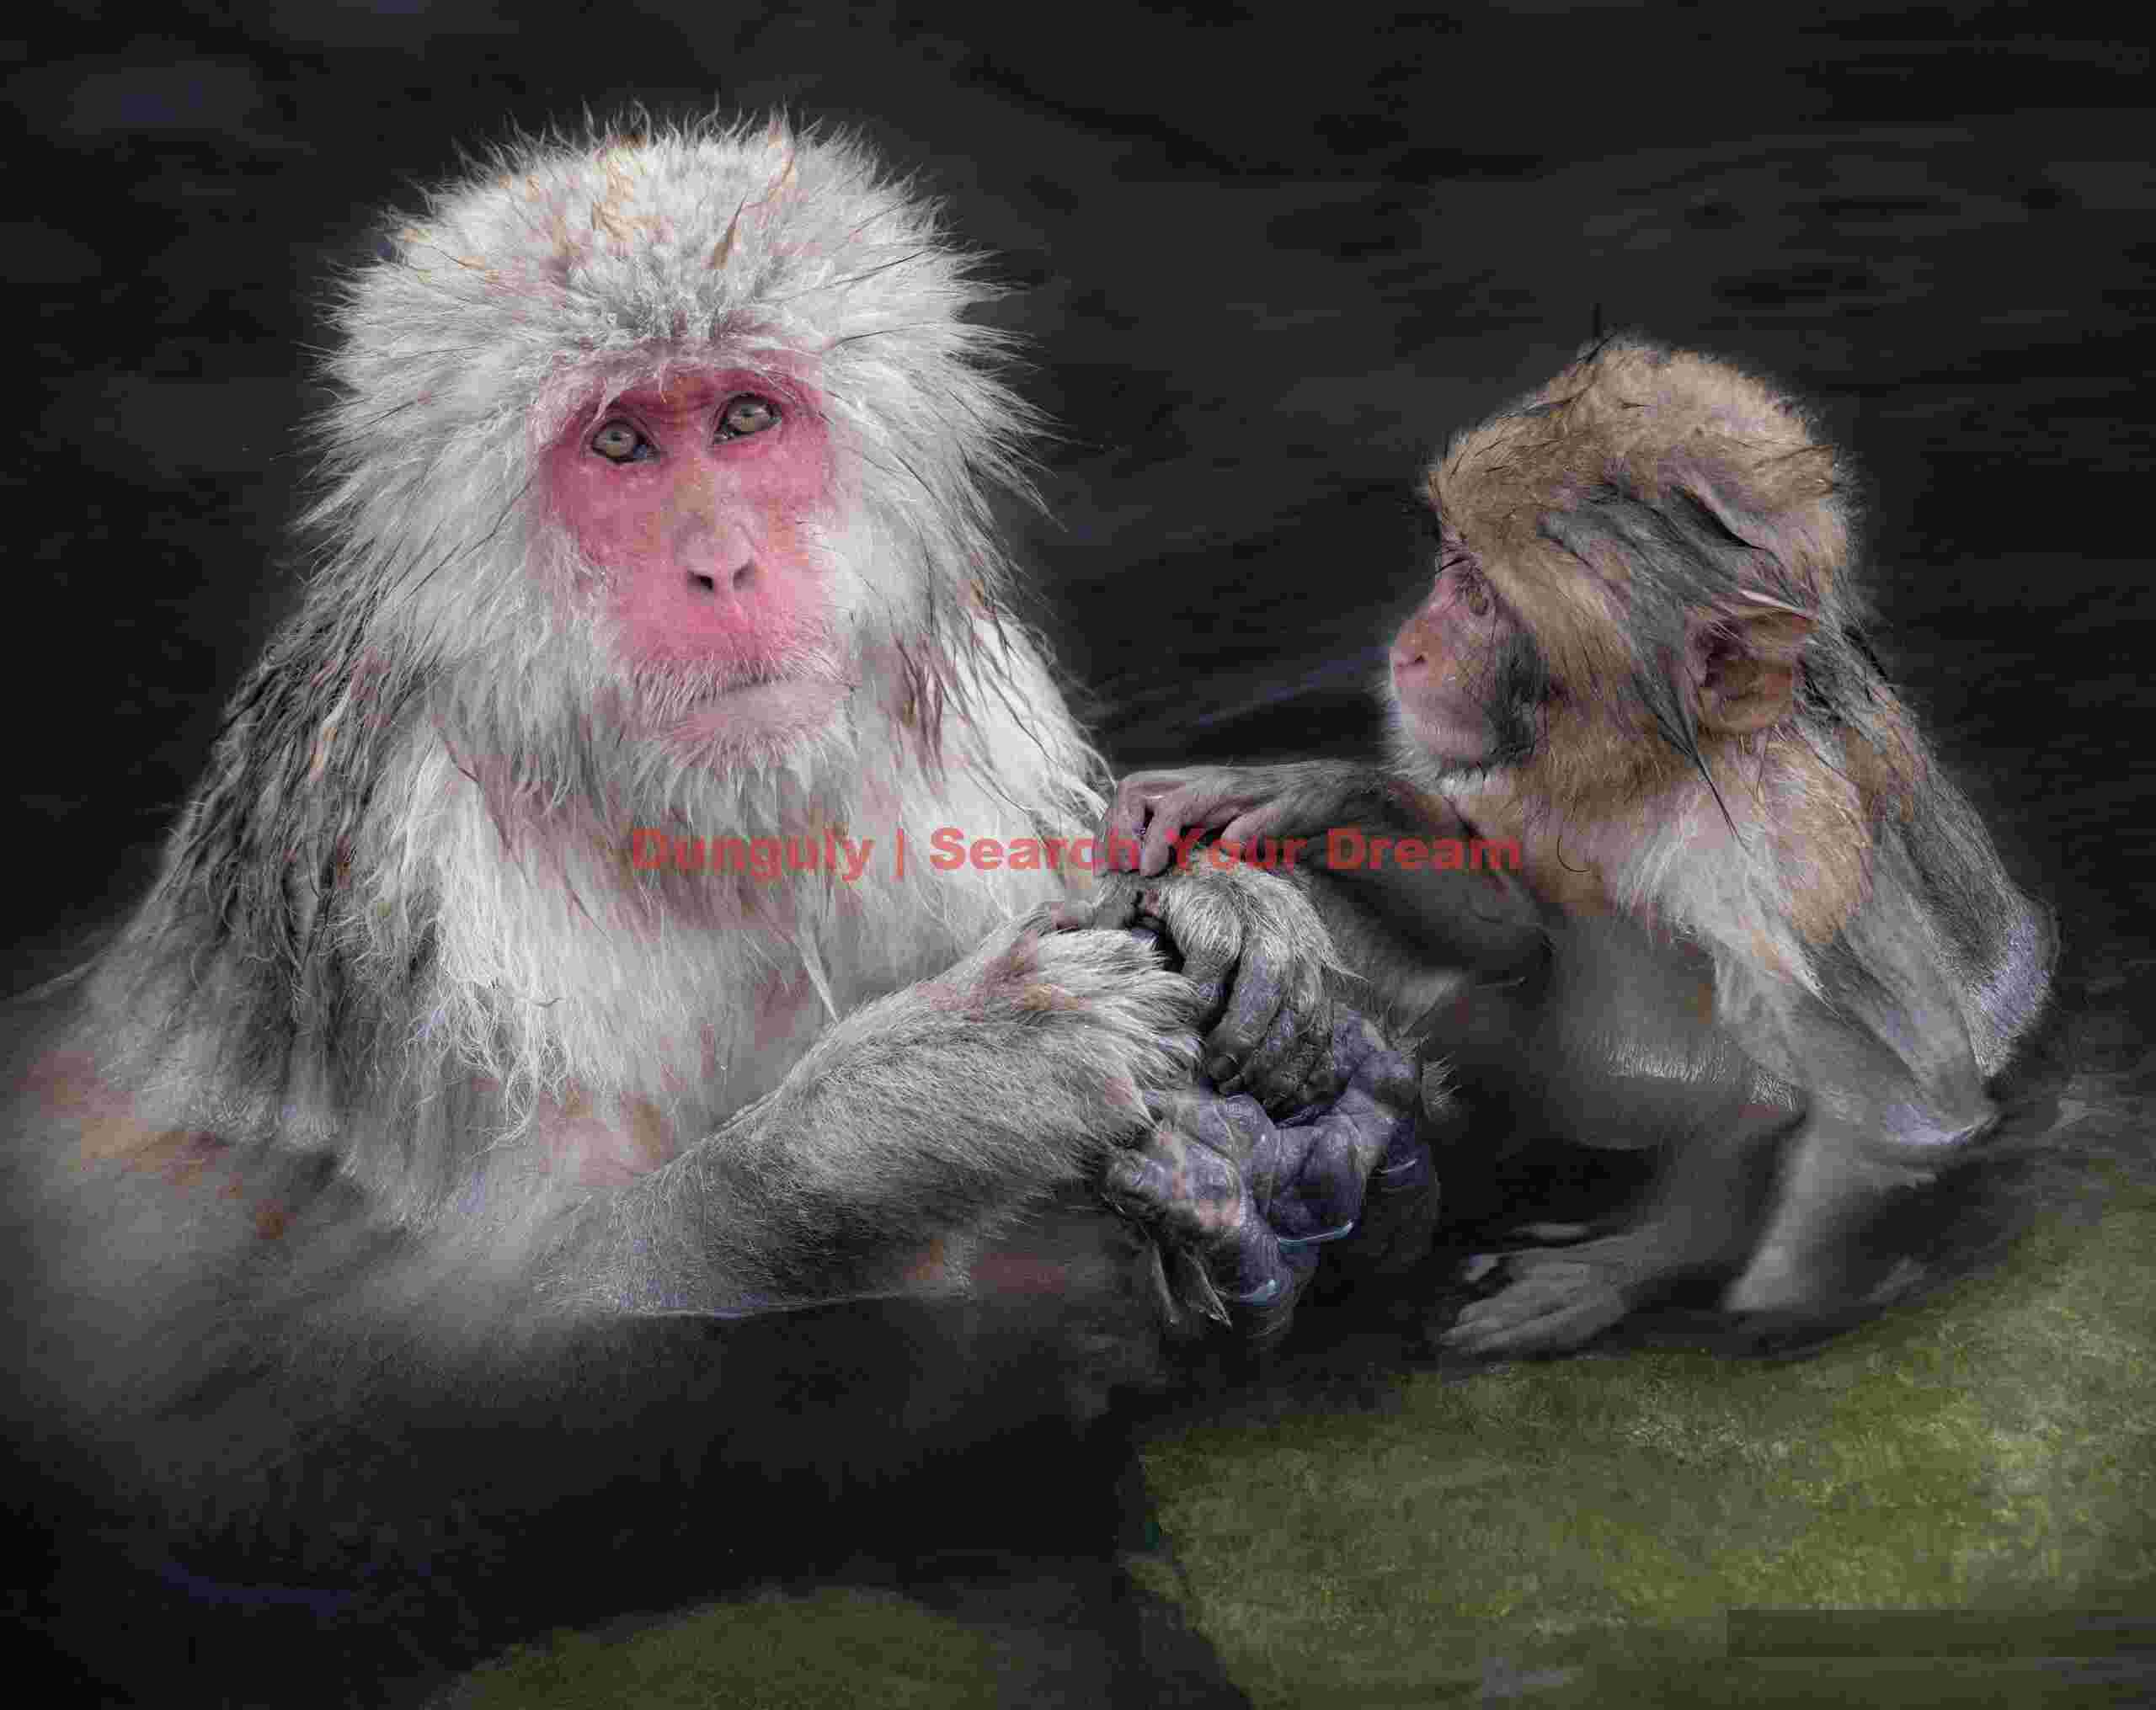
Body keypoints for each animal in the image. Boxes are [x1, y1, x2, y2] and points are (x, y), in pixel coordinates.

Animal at [0, 115, 1413, 1704]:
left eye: (743, 419)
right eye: (621, 443)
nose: (722, 564)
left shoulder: (969, 756)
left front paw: (1235, 923)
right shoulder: (432, 924)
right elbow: (444, 1364)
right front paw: (919, 1111)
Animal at [1101, 333, 2057, 1358]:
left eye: (1481, 600)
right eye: (1450, 563)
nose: (1414, 646)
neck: (1656, 774)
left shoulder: (1797, 848)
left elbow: (1904, 1108)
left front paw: (1700, 1281)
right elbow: (1510, 929)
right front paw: (1315, 795)